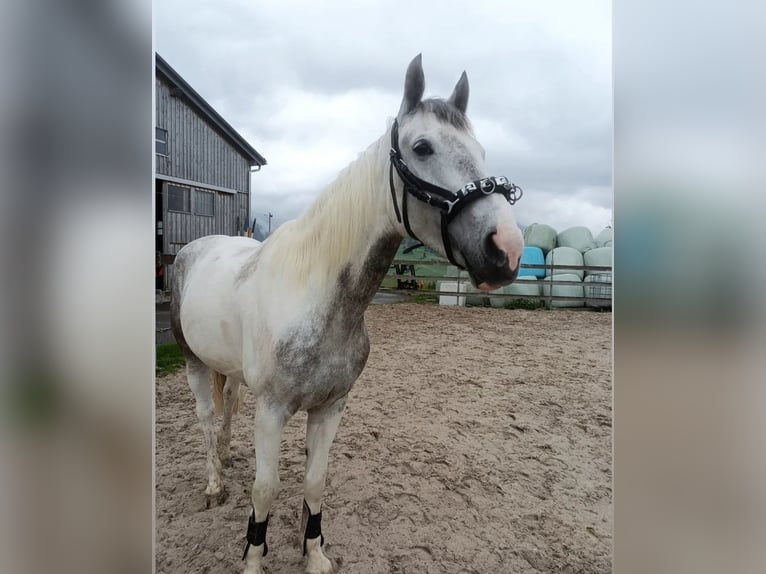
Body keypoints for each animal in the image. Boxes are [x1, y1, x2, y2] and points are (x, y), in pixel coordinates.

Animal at [169, 55, 528, 574]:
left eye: (480, 149)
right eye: (422, 147)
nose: (507, 249)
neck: (318, 298)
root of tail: (193, 249)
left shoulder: (331, 407)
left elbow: (315, 483)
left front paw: (315, 553)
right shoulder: (272, 410)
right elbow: (265, 490)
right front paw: (254, 556)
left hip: (229, 368)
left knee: (227, 407)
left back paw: (227, 459)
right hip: (193, 362)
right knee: (205, 418)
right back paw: (215, 483)